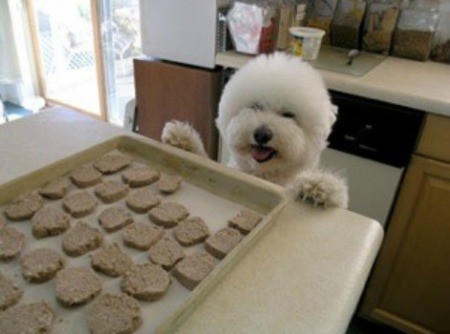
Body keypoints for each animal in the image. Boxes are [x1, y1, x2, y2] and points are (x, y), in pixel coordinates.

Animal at [162, 52, 348, 209]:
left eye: (289, 115)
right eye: (255, 106)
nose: (262, 134)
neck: (260, 175)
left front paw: (320, 186)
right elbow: (204, 159)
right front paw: (183, 140)